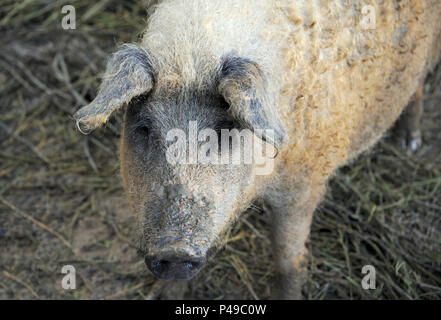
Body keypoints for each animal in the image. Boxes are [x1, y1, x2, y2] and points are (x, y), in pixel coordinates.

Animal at [73, 0, 440, 300]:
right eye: (144, 129)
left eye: (223, 130)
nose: (175, 250)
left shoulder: (305, 183)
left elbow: (287, 259)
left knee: (419, 84)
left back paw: (409, 144)